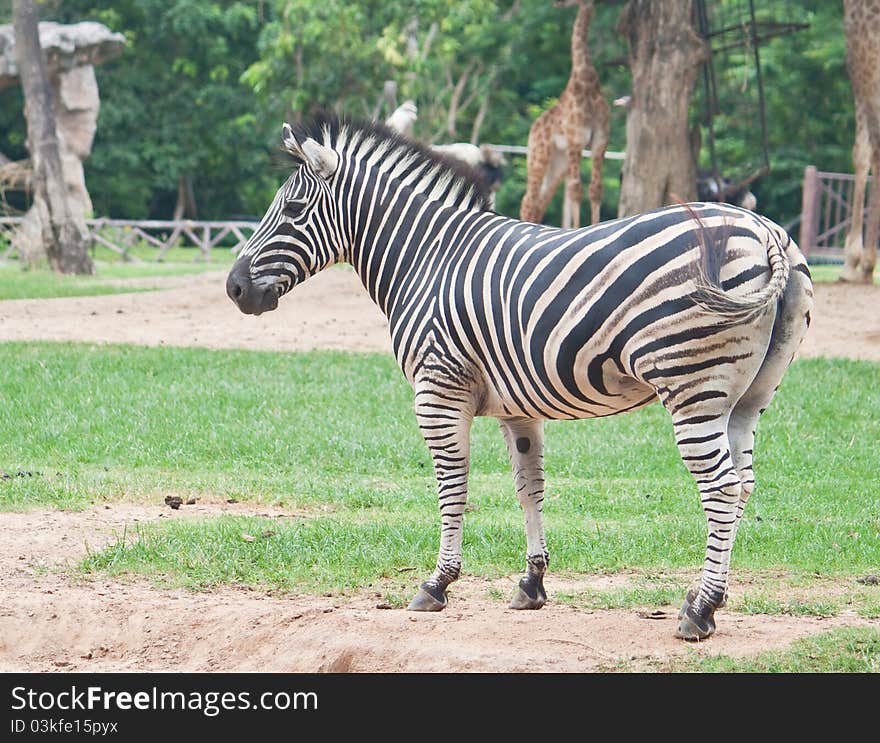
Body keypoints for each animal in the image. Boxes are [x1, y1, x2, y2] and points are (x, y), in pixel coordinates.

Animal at [227, 115, 812, 640]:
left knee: (721, 487)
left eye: (293, 209)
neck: (426, 258)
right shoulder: (517, 407)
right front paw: (532, 583)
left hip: (692, 388)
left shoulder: (437, 391)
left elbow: (453, 487)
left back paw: (700, 611)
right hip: (747, 397)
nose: (233, 289)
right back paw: (706, 597)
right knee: (743, 485)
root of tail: (765, 231)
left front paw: (437, 584)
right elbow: (530, 489)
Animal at [520, 0, 608, 228]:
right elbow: (576, 190)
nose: (557, 4)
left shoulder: (599, 142)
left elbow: (595, 190)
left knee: (539, 202)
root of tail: (533, 129)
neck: (587, 83)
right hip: (539, 156)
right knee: (529, 199)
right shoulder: (576, 141)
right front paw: (578, 229)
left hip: (558, 163)